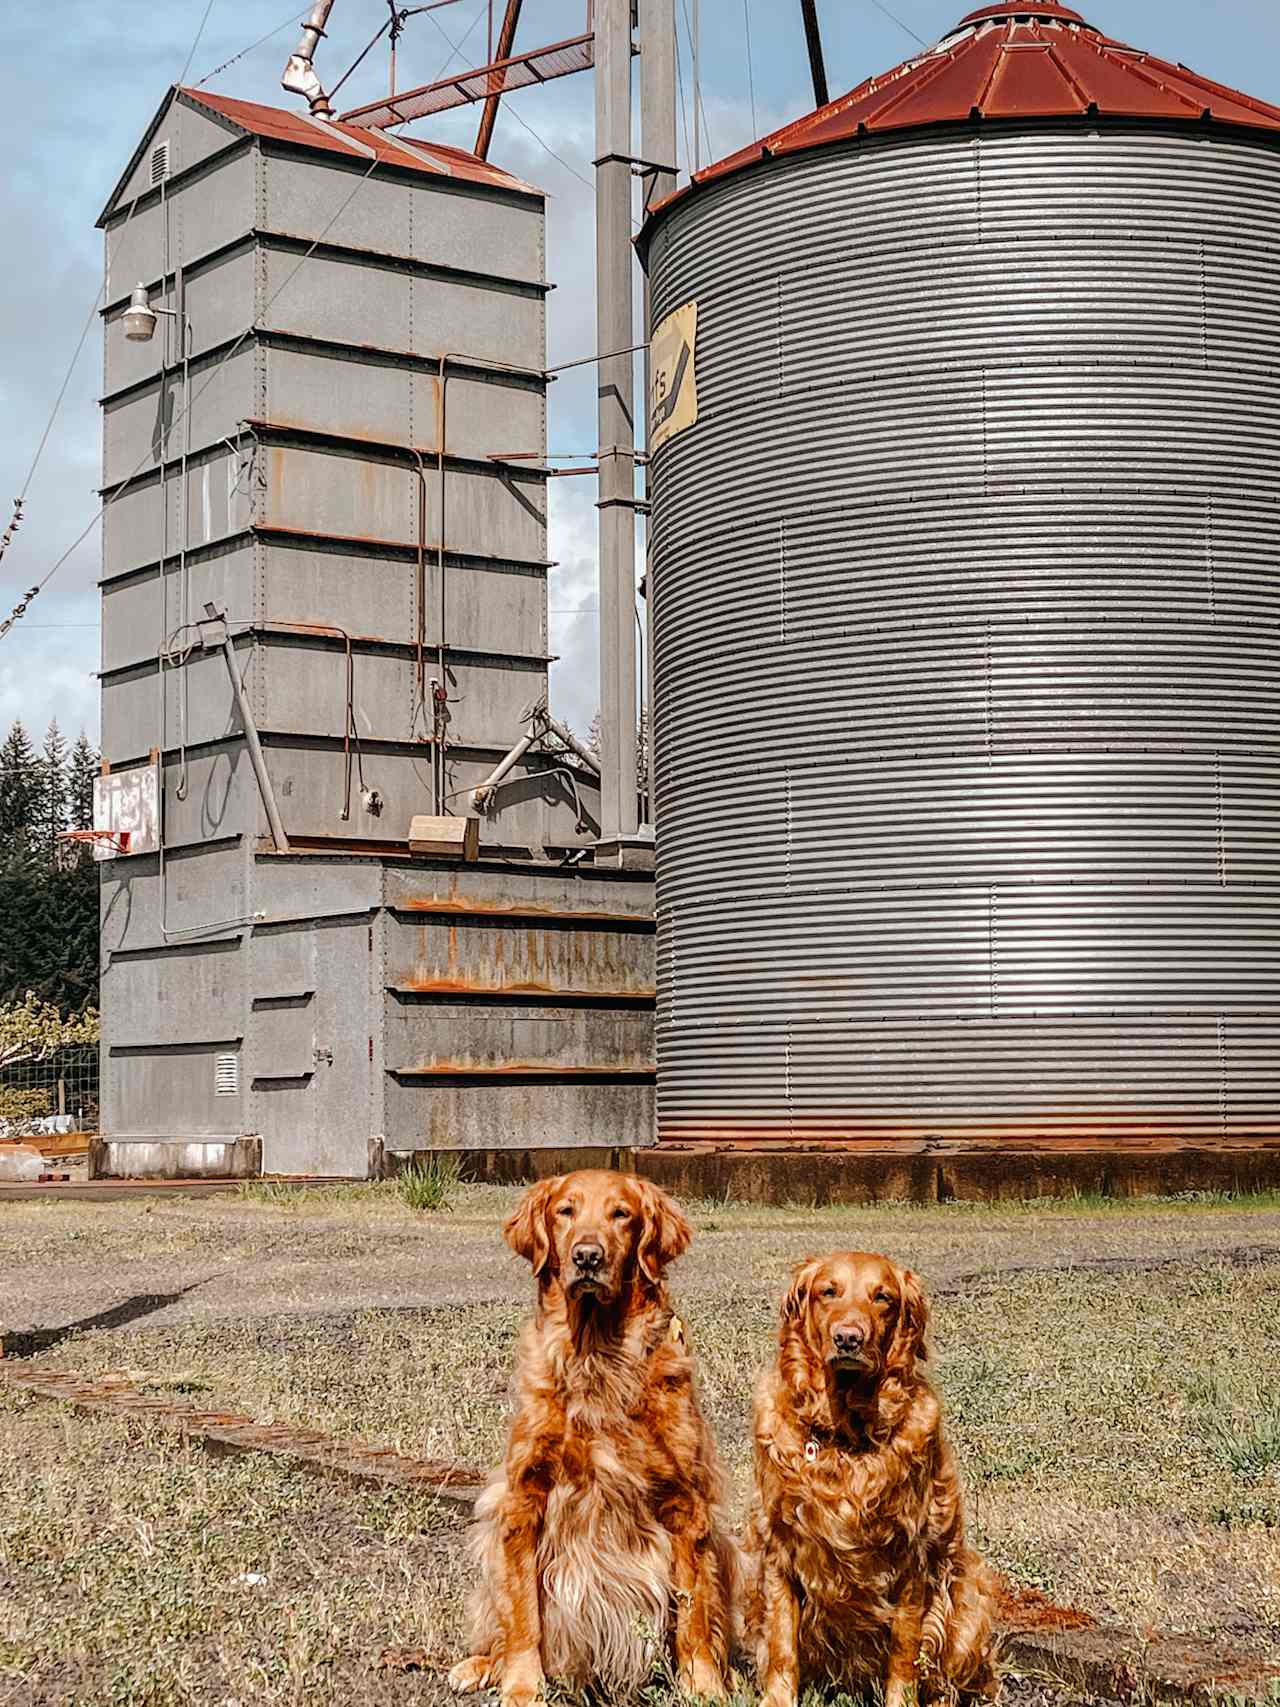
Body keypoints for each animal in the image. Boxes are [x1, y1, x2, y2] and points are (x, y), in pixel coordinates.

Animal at [450, 1174, 737, 1707]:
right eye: (565, 1211)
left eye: (621, 1214)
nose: (587, 1256)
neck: (597, 1353)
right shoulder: (523, 1501)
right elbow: (524, 1615)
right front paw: (522, 1686)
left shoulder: (688, 1506)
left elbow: (694, 1612)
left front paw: (704, 1685)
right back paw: (482, 1665)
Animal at [747, 1256, 996, 1707]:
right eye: (828, 1291)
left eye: (883, 1298)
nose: (848, 1339)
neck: (845, 1437)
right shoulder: (779, 1550)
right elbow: (782, 1647)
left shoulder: (911, 1559)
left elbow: (904, 1651)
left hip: (971, 1601)